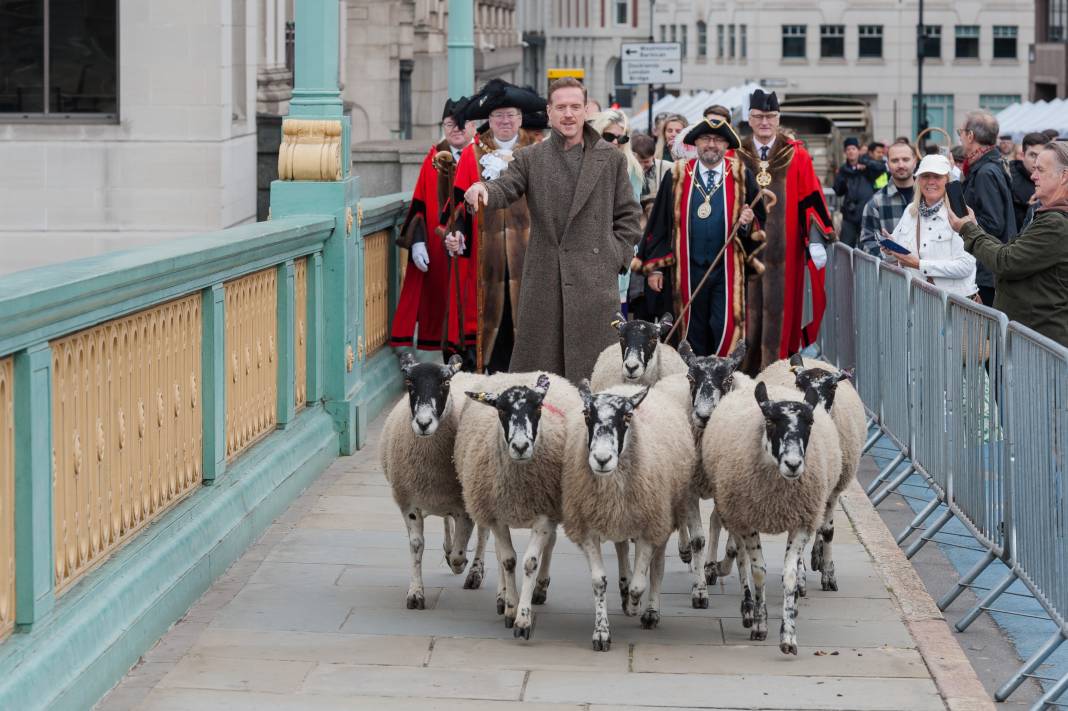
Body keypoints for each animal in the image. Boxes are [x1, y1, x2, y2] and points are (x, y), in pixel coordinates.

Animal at [380, 354, 491, 610]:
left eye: (445, 383)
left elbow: (461, 551)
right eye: (409, 383)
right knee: (446, 522)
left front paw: (460, 564)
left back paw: (474, 572)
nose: (423, 423)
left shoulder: (464, 507)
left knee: (483, 532)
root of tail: (467, 371)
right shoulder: (409, 503)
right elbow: (416, 546)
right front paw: (415, 594)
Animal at [452, 371, 585, 636]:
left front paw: (523, 620)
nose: (521, 446)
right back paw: (501, 597)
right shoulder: (496, 516)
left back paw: (540, 589)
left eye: (538, 408)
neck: (519, 487)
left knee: (550, 544)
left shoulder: (544, 514)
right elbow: (508, 560)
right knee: (498, 552)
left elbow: (530, 562)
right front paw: (510, 608)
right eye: (502, 410)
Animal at [563, 382, 696, 649]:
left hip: (662, 518)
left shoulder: (650, 527)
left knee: (656, 568)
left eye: (627, 416)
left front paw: (636, 605)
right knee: (622, 549)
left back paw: (650, 612)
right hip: (621, 519)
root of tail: (630, 385)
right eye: (586, 414)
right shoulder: (587, 529)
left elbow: (640, 583)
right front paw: (601, 633)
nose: (602, 459)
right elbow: (599, 581)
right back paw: (624, 588)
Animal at [700, 375, 841, 653]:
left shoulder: (801, 521)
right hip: (734, 510)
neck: (777, 498)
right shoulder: (747, 520)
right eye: (769, 421)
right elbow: (757, 571)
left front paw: (788, 635)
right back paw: (746, 607)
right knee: (739, 555)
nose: (793, 464)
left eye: (810, 422)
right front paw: (760, 624)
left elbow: (790, 574)